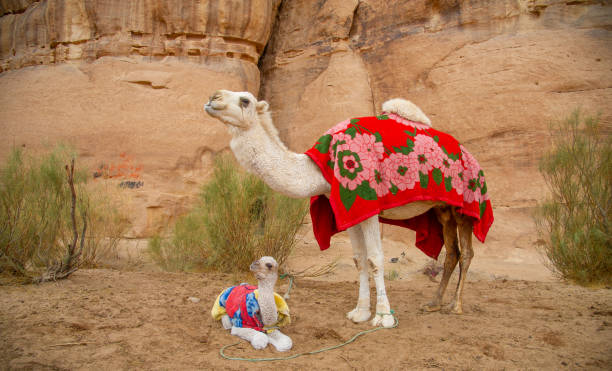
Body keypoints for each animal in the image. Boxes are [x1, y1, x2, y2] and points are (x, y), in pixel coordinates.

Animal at [206, 90, 478, 328]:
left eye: (245, 100)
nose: (213, 98)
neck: (320, 171)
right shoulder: (351, 213)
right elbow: (359, 259)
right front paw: (360, 312)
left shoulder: (367, 205)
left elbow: (375, 259)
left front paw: (383, 317)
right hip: (441, 210)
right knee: (452, 252)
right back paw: (434, 303)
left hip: (466, 206)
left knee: (466, 252)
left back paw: (455, 306)